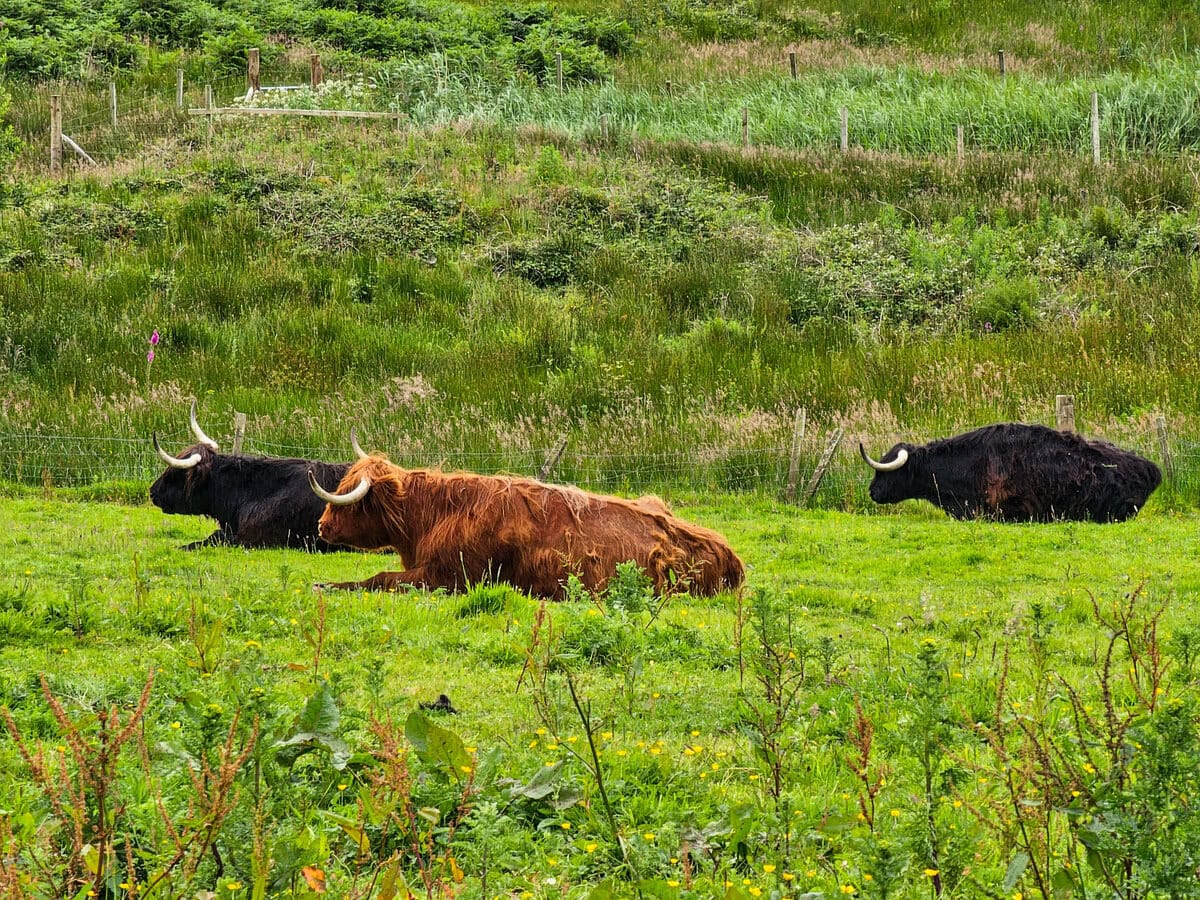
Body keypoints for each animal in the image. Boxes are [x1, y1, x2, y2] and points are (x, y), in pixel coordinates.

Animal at [306, 455, 745, 598]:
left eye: (350, 500)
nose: (322, 526)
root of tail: (729, 553)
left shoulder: (451, 577)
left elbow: (379, 578)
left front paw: (324, 585)